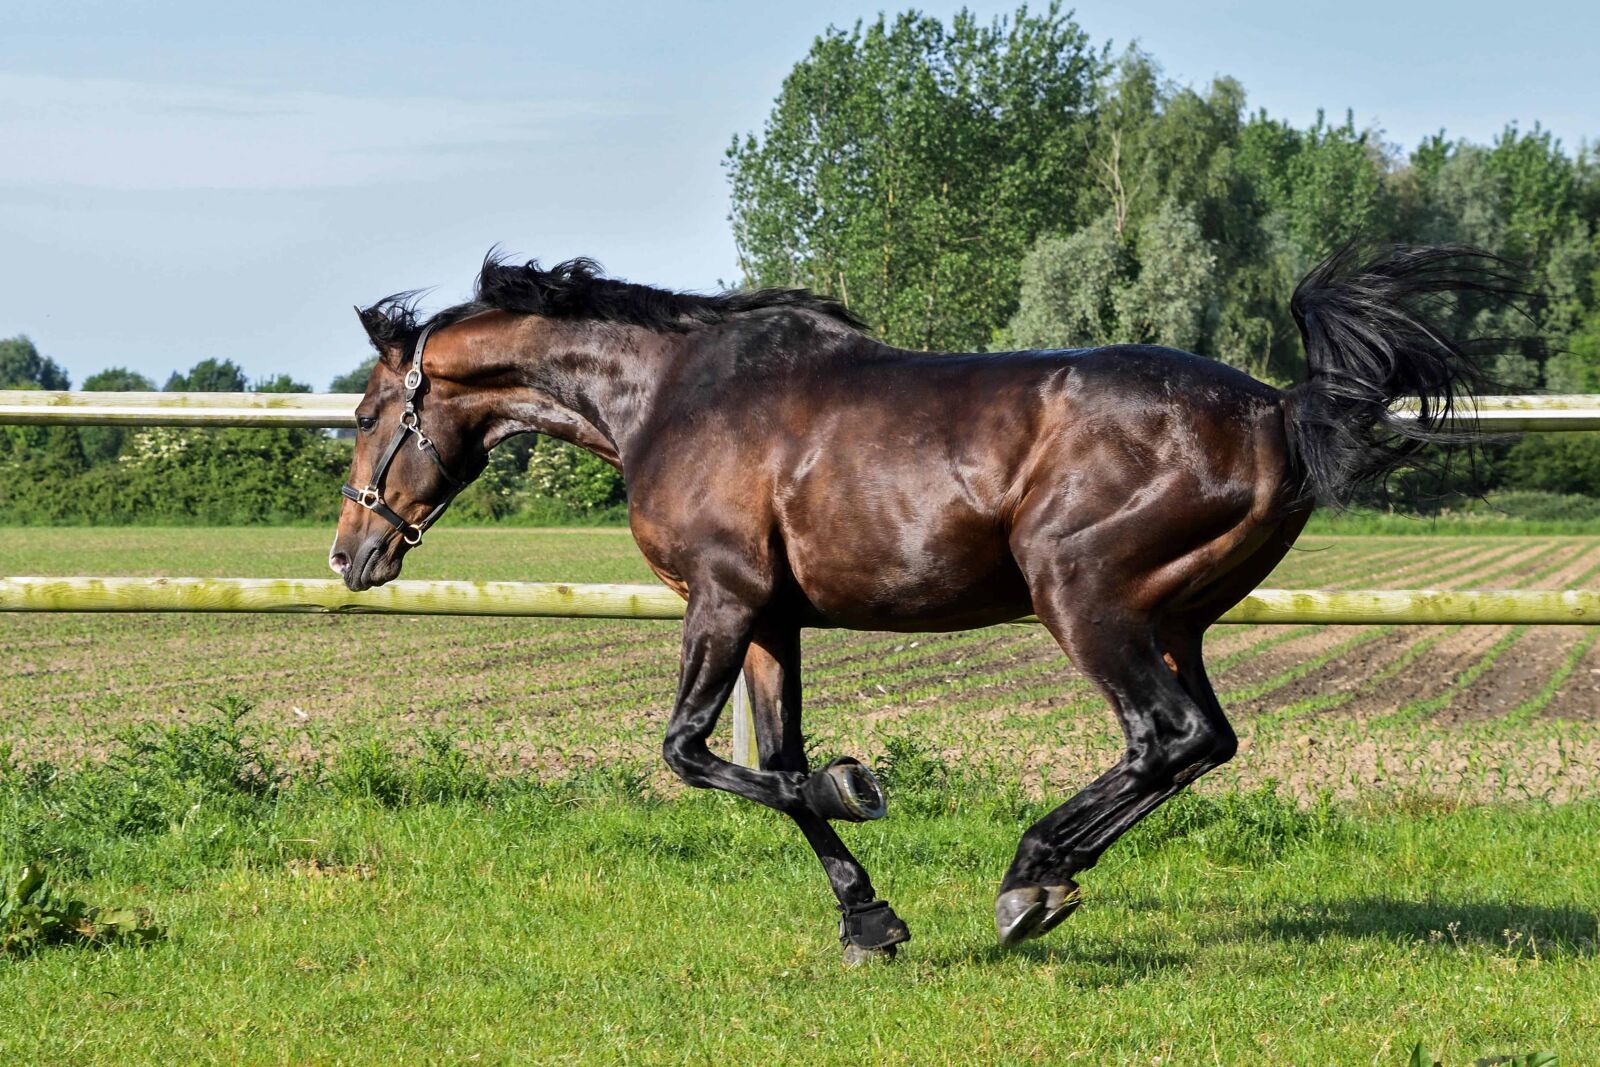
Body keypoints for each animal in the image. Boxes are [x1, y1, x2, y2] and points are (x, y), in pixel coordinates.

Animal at [328, 243, 1507, 962]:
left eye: (371, 411)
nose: (351, 552)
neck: (668, 395)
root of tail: (1278, 406)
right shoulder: (773, 619)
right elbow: (777, 765)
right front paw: (869, 918)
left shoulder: (721, 598)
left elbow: (693, 752)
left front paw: (861, 787)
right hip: (1175, 619)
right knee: (1201, 741)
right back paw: (1044, 874)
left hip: (1082, 596)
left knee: (1162, 735)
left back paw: (1030, 879)